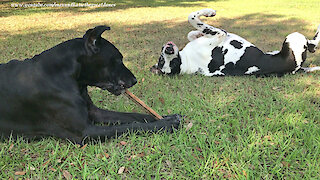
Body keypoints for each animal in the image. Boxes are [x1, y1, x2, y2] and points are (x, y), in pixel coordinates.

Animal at [0, 25, 180, 143]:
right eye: (118, 59)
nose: (134, 80)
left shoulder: (94, 112)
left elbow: (134, 117)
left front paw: (165, 117)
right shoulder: (85, 131)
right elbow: (132, 126)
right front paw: (166, 124)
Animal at [151, 8, 320, 76]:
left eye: (160, 59)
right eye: (164, 62)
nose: (168, 50)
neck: (186, 62)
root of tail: (295, 69)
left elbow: (191, 32)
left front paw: (197, 33)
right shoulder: (219, 34)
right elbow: (192, 17)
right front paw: (209, 12)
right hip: (294, 37)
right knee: (313, 43)